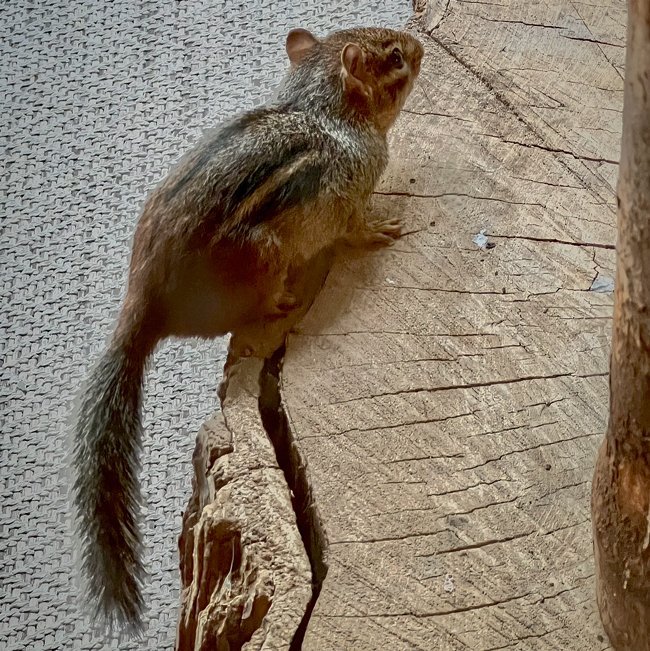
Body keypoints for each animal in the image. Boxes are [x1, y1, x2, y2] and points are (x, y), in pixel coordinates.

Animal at [73, 26, 422, 636]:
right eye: (397, 57)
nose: (422, 45)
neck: (322, 112)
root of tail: (145, 306)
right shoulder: (348, 201)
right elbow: (356, 229)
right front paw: (383, 229)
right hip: (262, 263)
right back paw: (284, 304)